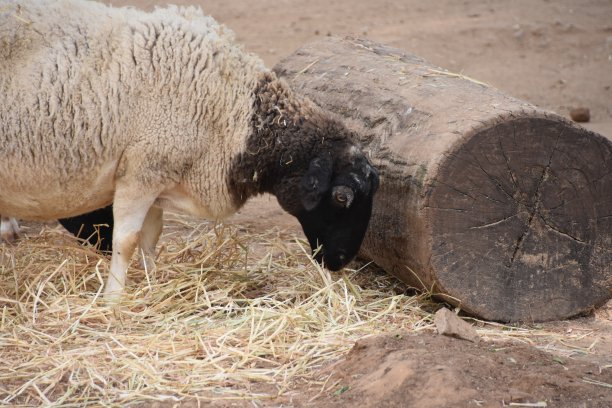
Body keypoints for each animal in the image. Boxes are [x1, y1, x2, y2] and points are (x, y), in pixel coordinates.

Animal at [1, 0, 378, 300]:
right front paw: (113, 300)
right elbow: (128, 241)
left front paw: (153, 283)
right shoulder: (141, 170)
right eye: (341, 198)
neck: (232, 115)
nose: (339, 262)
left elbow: (151, 237)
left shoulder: (156, 175)